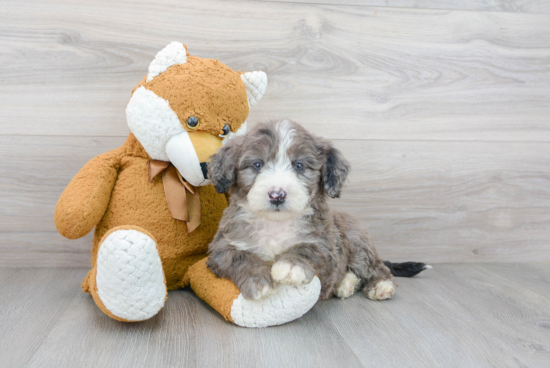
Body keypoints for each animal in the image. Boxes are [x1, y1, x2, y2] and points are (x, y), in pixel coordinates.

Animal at [207, 119, 426, 300]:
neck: (276, 223)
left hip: (357, 242)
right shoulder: (221, 247)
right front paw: (258, 282)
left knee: (375, 267)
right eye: (257, 165)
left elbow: (310, 248)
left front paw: (291, 265)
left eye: (299, 166)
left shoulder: (326, 244)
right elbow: (239, 256)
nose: (277, 195)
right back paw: (345, 285)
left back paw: (381, 286)